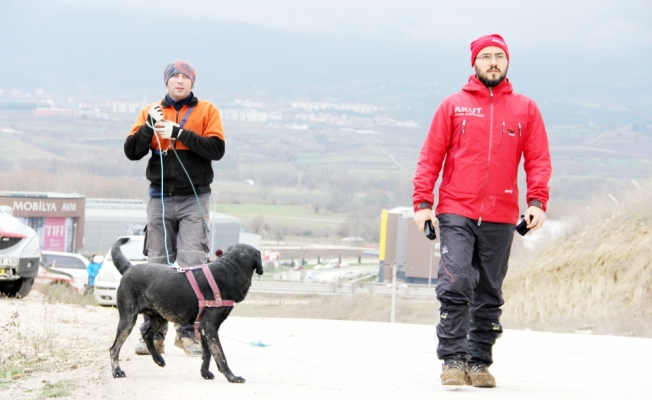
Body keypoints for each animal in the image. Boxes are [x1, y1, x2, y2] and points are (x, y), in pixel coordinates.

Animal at [109, 239, 262, 382]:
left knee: (147, 334)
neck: (228, 269)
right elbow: (220, 354)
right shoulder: (210, 327)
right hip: (128, 320)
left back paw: (158, 359)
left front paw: (205, 373)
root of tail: (129, 267)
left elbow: (207, 353)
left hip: (160, 317)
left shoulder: (202, 327)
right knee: (114, 348)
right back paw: (117, 371)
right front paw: (232, 377)